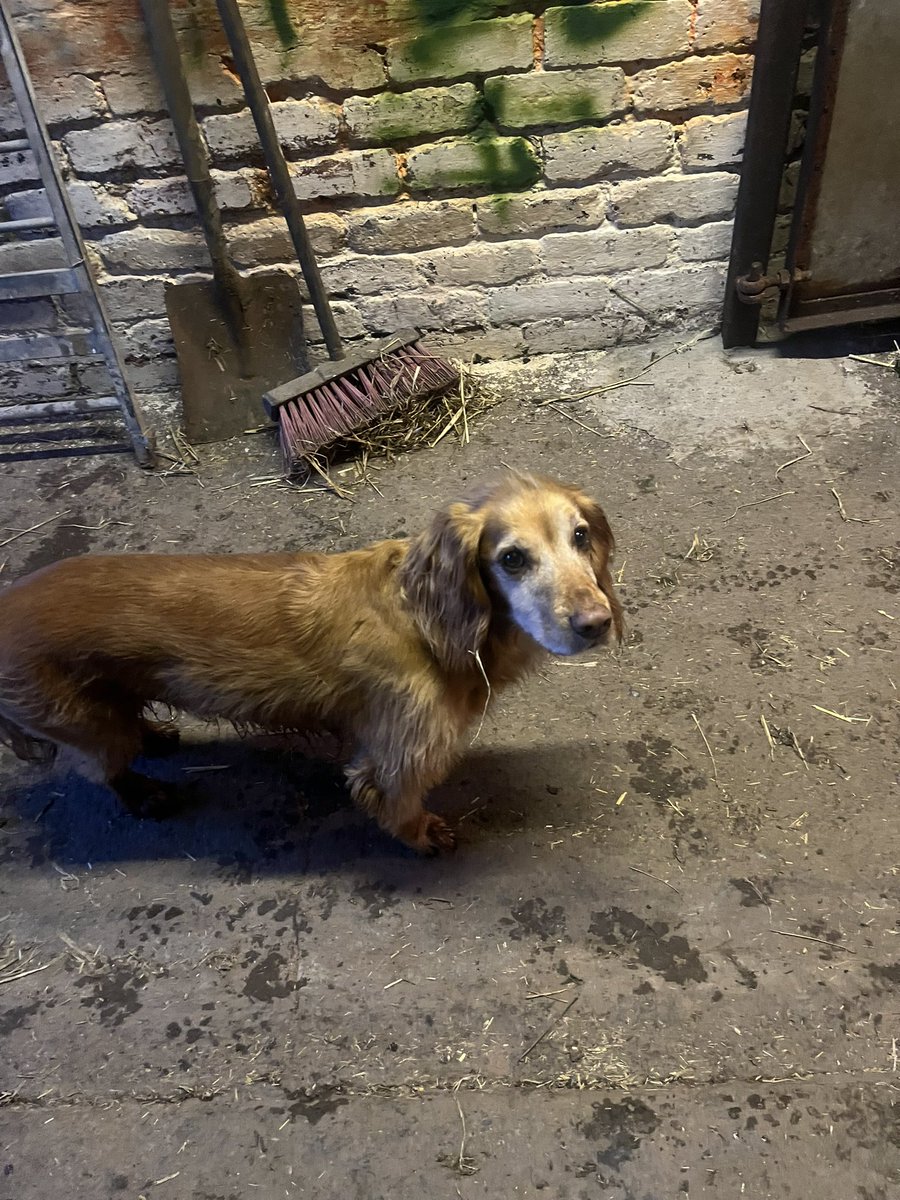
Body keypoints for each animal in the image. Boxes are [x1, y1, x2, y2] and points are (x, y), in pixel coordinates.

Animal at [0, 470, 624, 854]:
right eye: (512, 558)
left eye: (581, 536)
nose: (596, 623)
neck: (425, 622)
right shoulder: (398, 755)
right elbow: (397, 802)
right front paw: (421, 834)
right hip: (82, 722)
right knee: (104, 769)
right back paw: (144, 792)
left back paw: (153, 734)